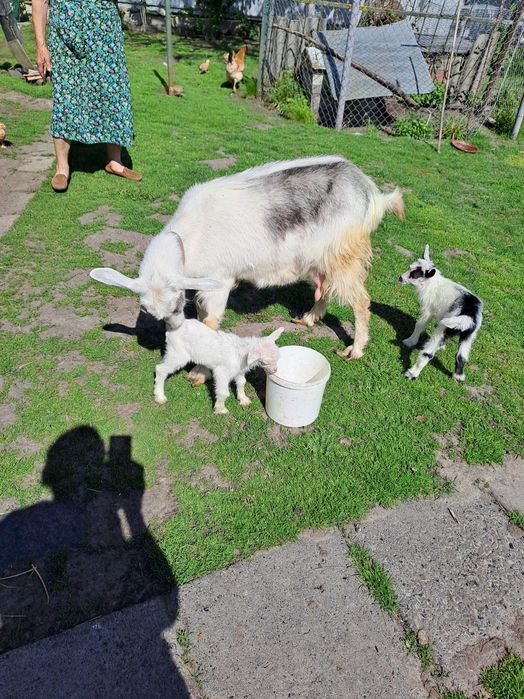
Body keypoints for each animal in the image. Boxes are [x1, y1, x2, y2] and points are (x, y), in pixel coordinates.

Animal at [90, 155, 404, 366]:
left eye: (178, 304)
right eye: (145, 309)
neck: (189, 235)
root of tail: (372, 193)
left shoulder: (219, 280)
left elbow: (211, 320)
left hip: (343, 254)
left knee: (361, 301)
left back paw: (355, 349)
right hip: (322, 258)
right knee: (324, 286)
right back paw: (307, 319)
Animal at [154, 322, 284, 414]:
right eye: (266, 362)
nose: (275, 370)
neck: (241, 353)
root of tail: (172, 329)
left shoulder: (239, 371)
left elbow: (242, 383)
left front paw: (243, 399)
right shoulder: (221, 372)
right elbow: (223, 392)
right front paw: (220, 409)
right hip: (178, 354)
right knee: (160, 369)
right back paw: (159, 396)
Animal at [399, 245, 483, 382]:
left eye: (415, 274)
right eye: (410, 268)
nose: (400, 278)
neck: (431, 283)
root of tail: (469, 315)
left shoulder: (428, 309)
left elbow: (420, 324)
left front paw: (410, 341)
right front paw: (442, 346)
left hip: (444, 326)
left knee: (428, 353)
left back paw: (411, 373)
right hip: (469, 335)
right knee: (462, 356)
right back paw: (458, 377)